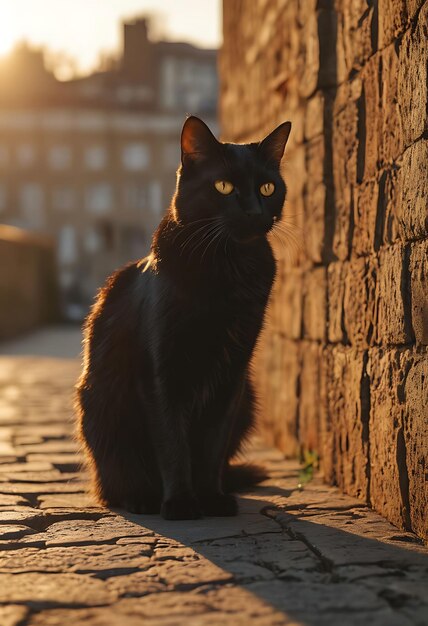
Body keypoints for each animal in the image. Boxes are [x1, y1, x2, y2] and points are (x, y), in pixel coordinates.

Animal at [76, 116, 290, 516]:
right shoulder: (161, 372)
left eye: (268, 188)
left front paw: (211, 499)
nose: (255, 212)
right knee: (114, 481)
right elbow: (173, 443)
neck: (227, 267)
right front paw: (181, 504)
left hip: (248, 398)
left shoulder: (232, 375)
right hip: (101, 408)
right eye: (223, 186)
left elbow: (211, 446)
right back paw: (142, 498)